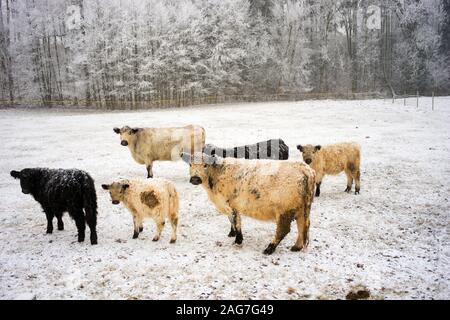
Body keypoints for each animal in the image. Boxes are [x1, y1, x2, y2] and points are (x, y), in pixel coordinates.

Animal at [181, 152, 314, 255]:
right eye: (190, 164)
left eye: (205, 165)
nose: (195, 178)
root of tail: (305, 169)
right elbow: (232, 221)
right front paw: (232, 233)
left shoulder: (231, 205)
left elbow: (236, 221)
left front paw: (238, 240)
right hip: (301, 209)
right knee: (303, 225)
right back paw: (296, 247)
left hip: (284, 211)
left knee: (284, 230)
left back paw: (269, 248)